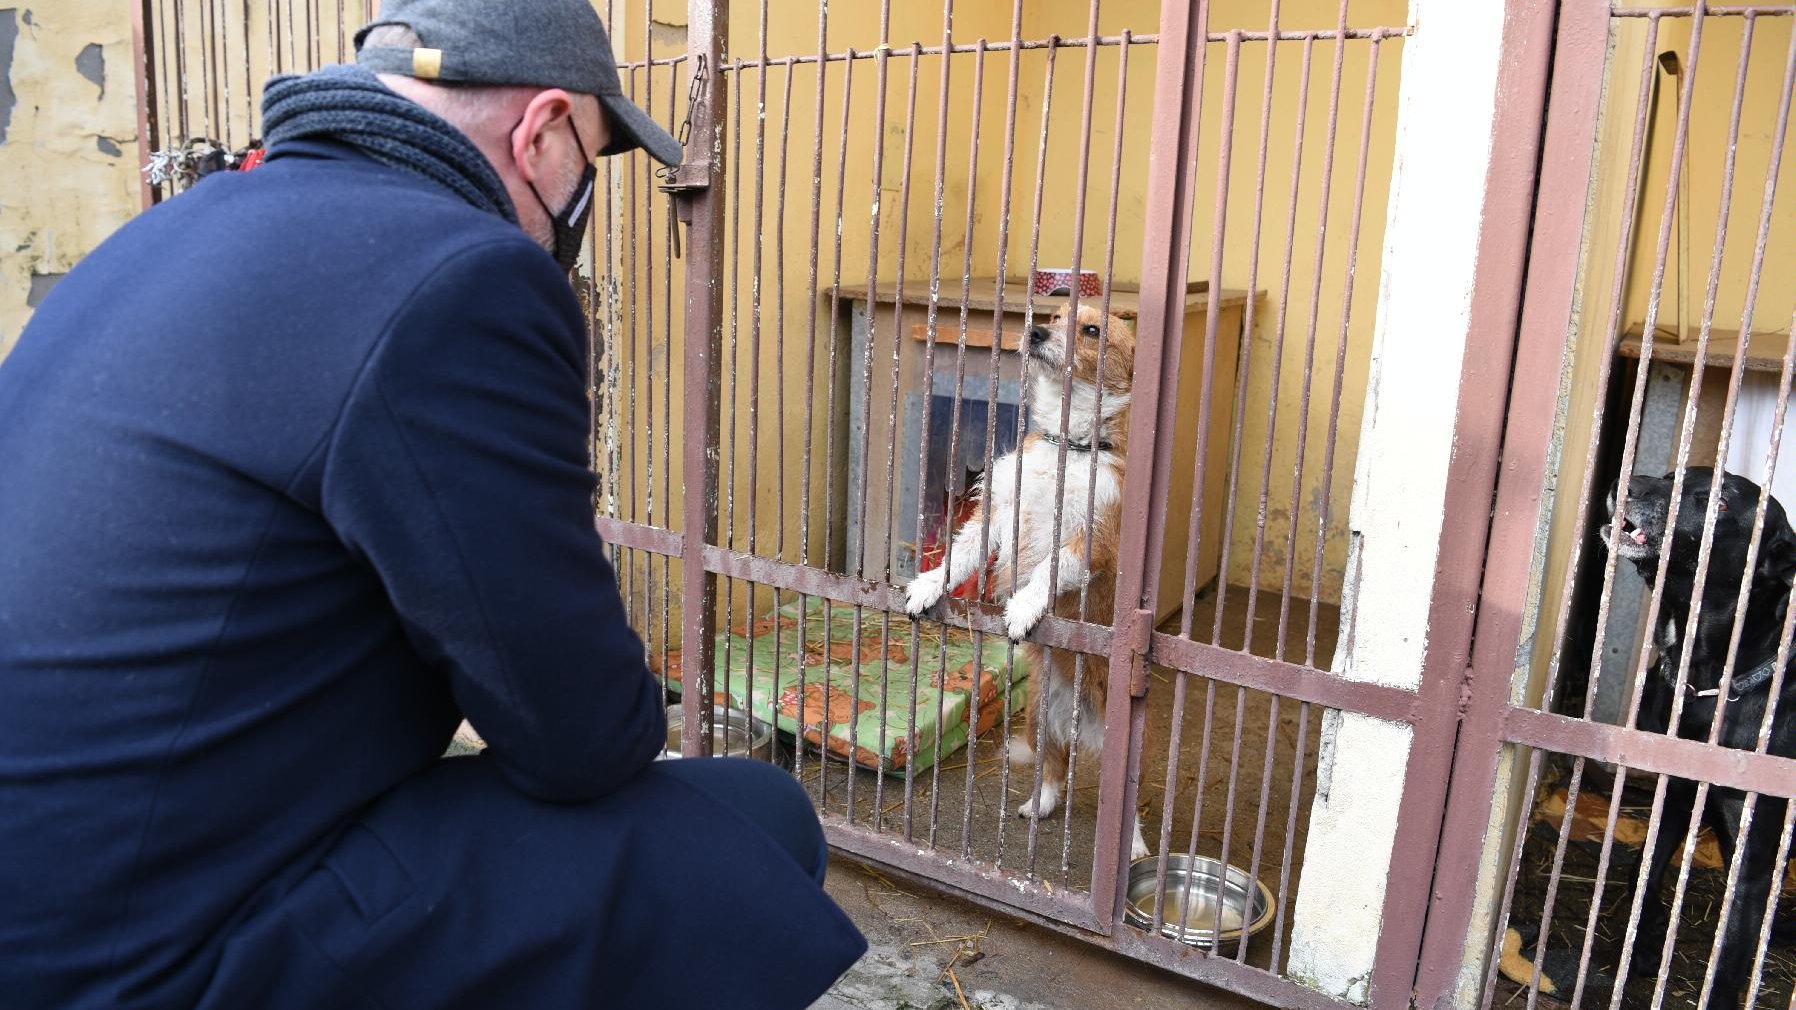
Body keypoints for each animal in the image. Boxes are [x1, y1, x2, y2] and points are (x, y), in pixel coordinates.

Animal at [898, 298, 1149, 855]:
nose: (1034, 332)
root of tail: (1083, 719)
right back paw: (1039, 804)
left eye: (1092, 329)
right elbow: (960, 554)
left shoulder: (1089, 541)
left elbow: (1049, 570)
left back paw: (1138, 847)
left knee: (1127, 809)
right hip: (1038, 716)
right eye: (1055, 317)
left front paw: (1024, 609)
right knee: (1053, 771)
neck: (1068, 445)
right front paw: (929, 585)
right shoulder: (999, 515)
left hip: (1124, 757)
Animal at [1602, 467, 1796, 999]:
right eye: (1674, 475)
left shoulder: (1752, 854)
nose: (1628, 482)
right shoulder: (1673, 796)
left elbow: (1728, 959)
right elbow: (1643, 872)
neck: (1707, 681)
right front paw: (1640, 948)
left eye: (1722, 504)